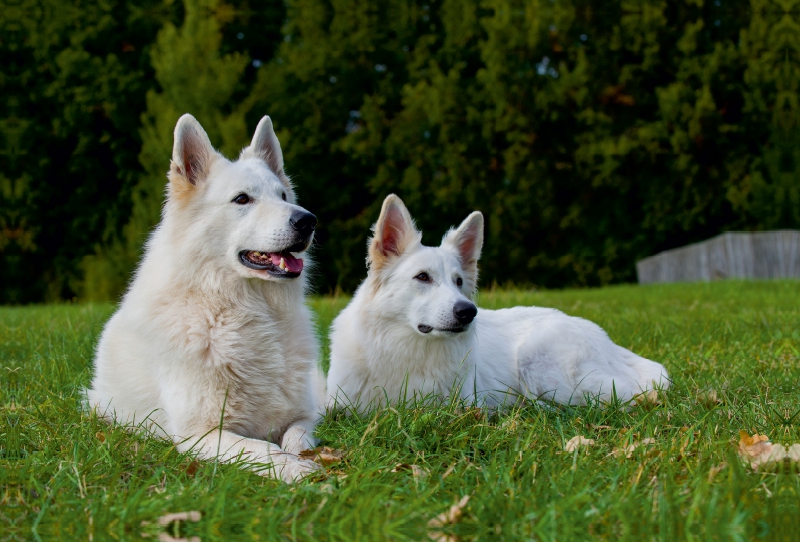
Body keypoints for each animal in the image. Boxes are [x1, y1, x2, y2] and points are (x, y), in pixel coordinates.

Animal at [86, 115, 322, 484]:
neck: (246, 310)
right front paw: (295, 470)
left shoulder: (304, 416)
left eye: (283, 195)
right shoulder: (201, 434)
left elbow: (297, 439)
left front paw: (304, 459)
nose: (308, 220)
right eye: (242, 199)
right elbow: (264, 448)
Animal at [324, 196, 668, 412]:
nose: (468, 312)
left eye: (458, 282)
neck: (404, 349)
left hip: (538, 363)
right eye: (422, 277)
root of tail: (609, 342)